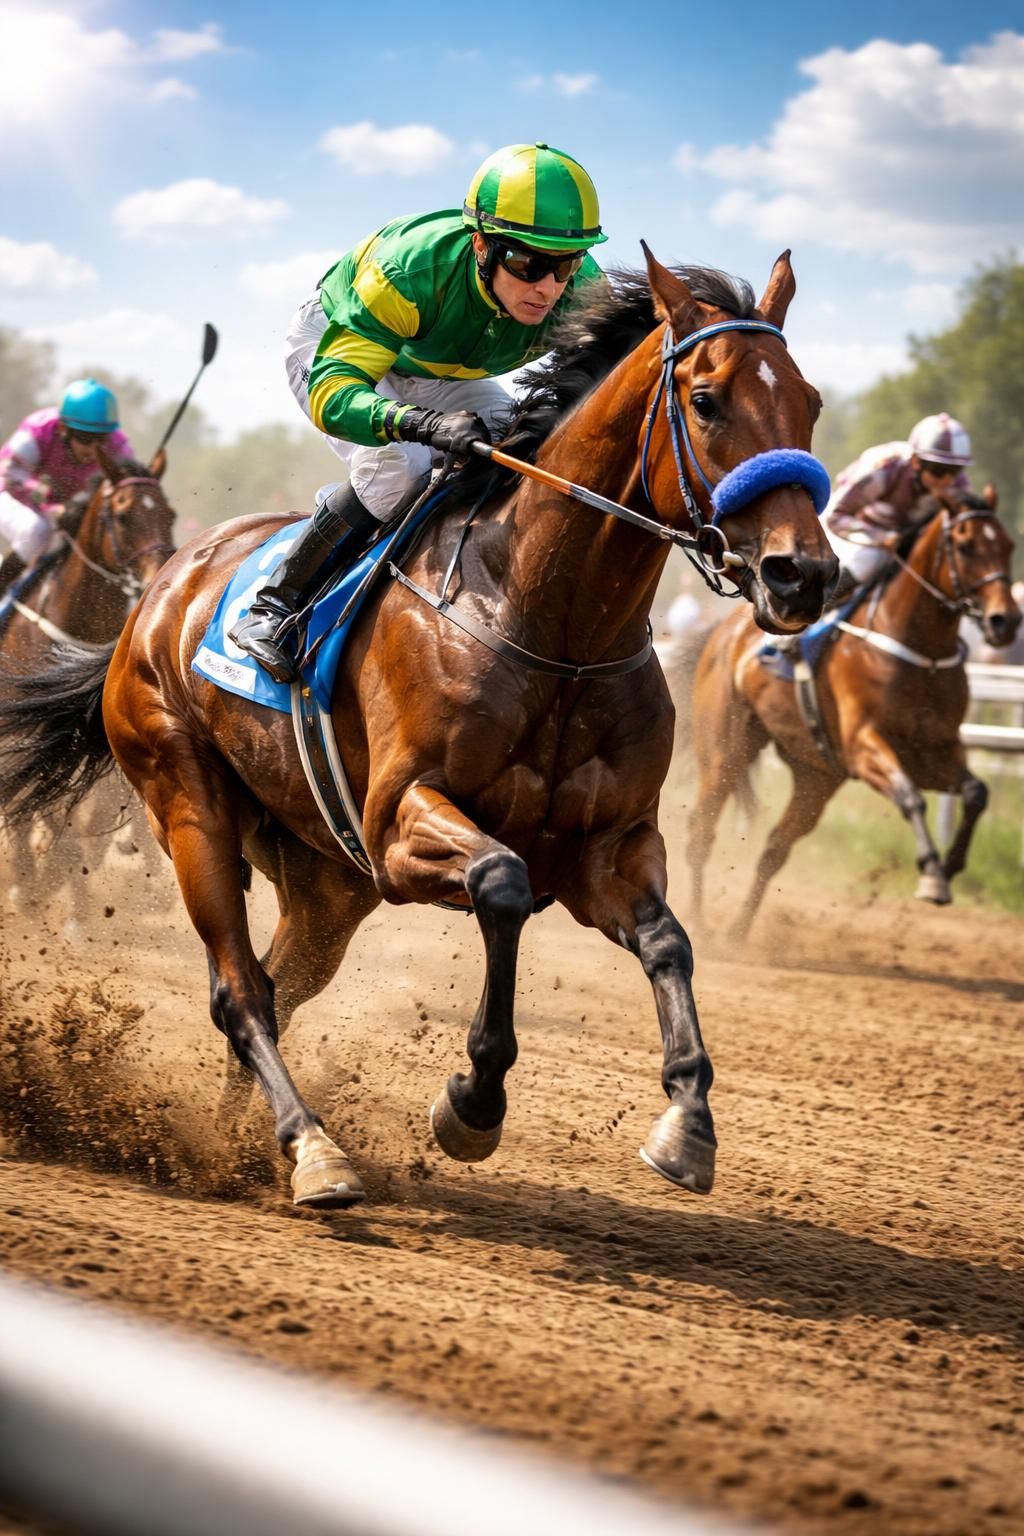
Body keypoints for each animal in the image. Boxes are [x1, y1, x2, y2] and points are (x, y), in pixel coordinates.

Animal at [685, 491, 1019, 940]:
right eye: (965, 546)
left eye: (1008, 546)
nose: (1006, 621)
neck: (921, 652)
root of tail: (723, 632)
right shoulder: (864, 746)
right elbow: (911, 797)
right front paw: (932, 874)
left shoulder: (933, 751)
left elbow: (976, 792)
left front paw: (950, 865)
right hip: (726, 749)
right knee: (701, 833)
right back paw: (698, 924)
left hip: (817, 777)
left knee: (775, 848)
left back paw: (737, 932)